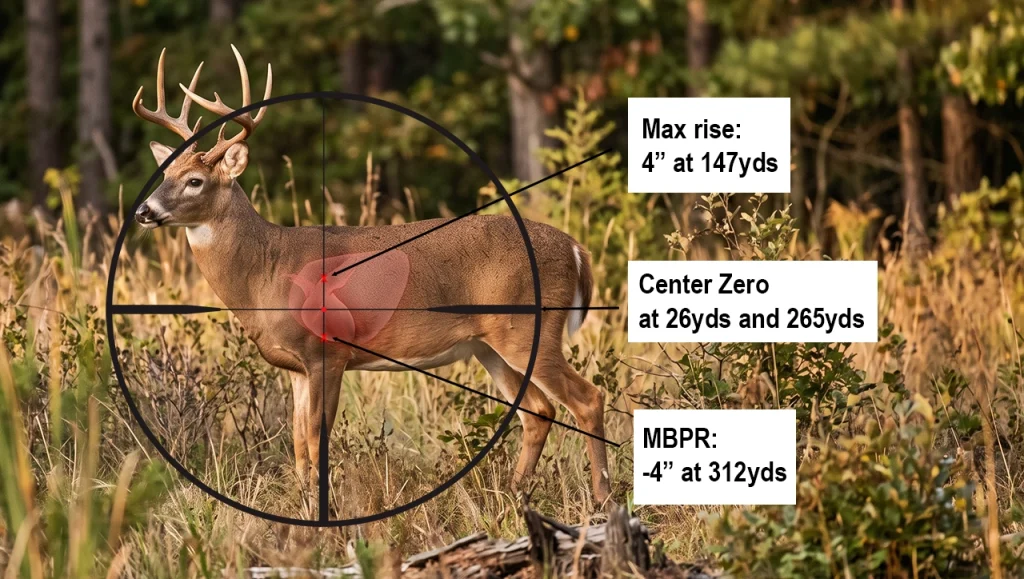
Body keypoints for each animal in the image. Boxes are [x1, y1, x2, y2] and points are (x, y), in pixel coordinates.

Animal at [131, 45, 612, 506]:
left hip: (527, 328)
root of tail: (576, 249)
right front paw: (301, 504)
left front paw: (324, 507)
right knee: (539, 410)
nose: (143, 211)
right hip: (488, 344)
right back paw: (514, 495)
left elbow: (316, 438)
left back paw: (602, 497)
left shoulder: (328, 351)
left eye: (195, 180)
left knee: (587, 399)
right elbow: (298, 442)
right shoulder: (295, 366)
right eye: (165, 173)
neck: (266, 272)